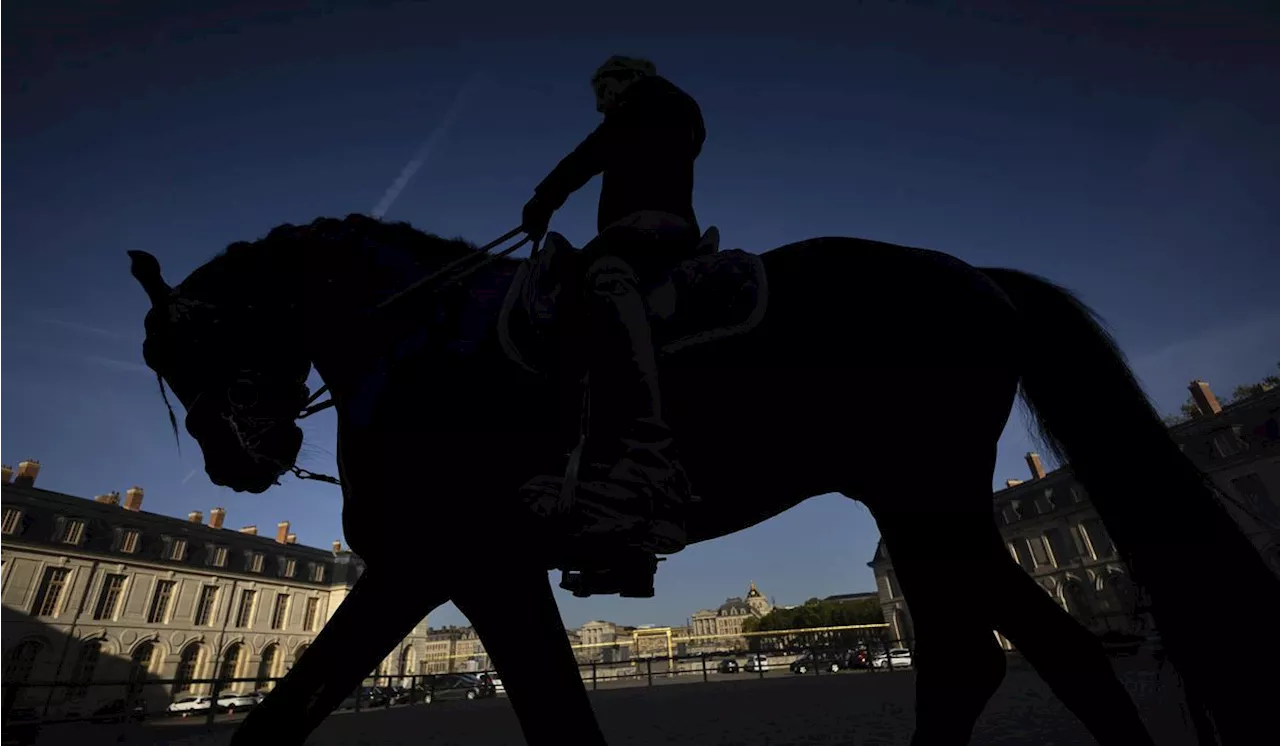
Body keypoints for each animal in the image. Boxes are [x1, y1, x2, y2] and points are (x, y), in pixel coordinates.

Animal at [129, 213, 1280, 742]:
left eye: (191, 343)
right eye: (160, 365)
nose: (240, 461)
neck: (419, 344)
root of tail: (978, 278)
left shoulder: (459, 561)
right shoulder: (456, 570)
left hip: (925, 499)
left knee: (985, 653)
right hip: (923, 502)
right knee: (1032, 651)